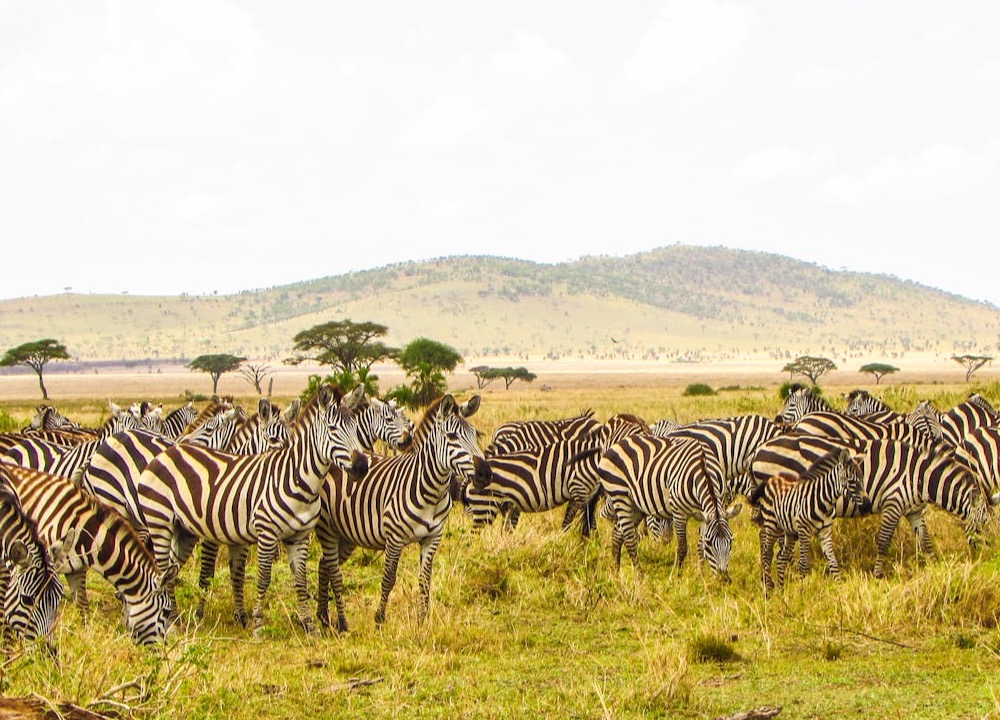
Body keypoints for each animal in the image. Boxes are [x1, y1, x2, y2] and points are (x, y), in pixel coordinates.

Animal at [136, 384, 369, 634]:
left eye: (356, 429)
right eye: (333, 429)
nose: (362, 466)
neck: (296, 479)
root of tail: (168, 451)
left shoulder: (300, 536)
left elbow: (300, 579)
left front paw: (309, 626)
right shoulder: (266, 533)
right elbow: (263, 577)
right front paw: (257, 624)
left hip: (183, 530)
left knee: (171, 568)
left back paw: (175, 617)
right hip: (159, 521)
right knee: (162, 567)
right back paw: (170, 622)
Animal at [314, 394, 491, 632]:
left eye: (475, 434)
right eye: (452, 436)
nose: (486, 474)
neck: (431, 491)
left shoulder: (432, 538)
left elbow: (425, 580)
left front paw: (423, 619)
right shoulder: (394, 539)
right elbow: (389, 578)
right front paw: (379, 618)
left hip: (347, 536)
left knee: (324, 564)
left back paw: (323, 616)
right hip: (328, 530)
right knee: (329, 566)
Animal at [597, 433, 742, 578]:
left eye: (731, 541)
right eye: (710, 544)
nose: (723, 578)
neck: (704, 467)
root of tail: (619, 443)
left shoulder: (703, 512)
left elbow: (700, 547)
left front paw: (700, 576)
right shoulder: (679, 512)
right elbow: (682, 548)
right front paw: (677, 576)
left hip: (636, 506)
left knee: (617, 535)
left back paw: (615, 571)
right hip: (620, 496)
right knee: (629, 540)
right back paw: (640, 576)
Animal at [749, 447, 866, 589]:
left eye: (862, 479)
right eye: (851, 480)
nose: (866, 503)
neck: (825, 502)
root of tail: (771, 479)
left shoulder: (825, 532)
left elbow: (833, 563)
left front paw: (839, 589)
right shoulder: (804, 530)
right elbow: (803, 564)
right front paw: (802, 591)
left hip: (789, 531)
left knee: (781, 558)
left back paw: (780, 590)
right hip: (772, 525)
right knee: (767, 553)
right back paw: (768, 588)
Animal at [751, 435, 1000, 577]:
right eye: (984, 524)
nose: (991, 558)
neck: (919, 476)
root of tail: (759, 450)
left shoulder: (914, 510)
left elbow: (926, 541)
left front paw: (934, 567)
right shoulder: (893, 503)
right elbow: (883, 542)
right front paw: (878, 574)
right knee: (766, 537)